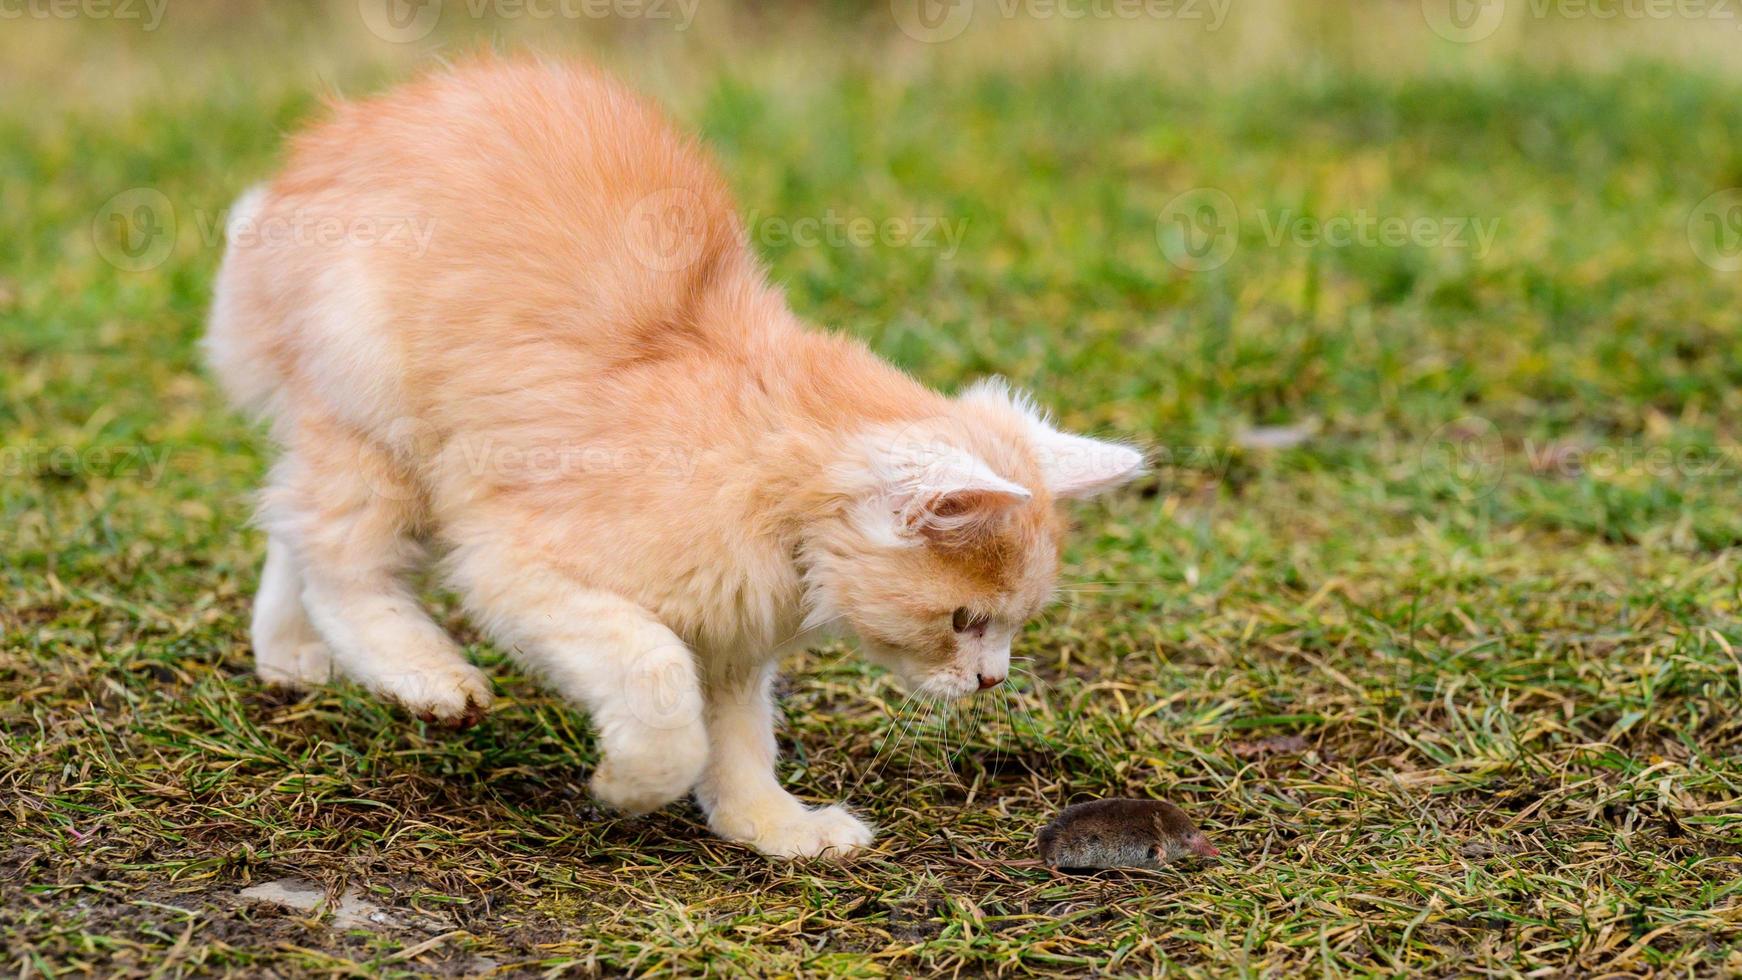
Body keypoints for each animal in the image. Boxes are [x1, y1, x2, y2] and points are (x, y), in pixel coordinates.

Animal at [207, 59, 1142, 859]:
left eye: (1011, 627)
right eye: (963, 620)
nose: (992, 683)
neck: (767, 484)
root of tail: (336, 136)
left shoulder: (731, 636)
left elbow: (738, 744)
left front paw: (773, 827)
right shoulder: (517, 563)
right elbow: (659, 685)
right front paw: (628, 785)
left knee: (292, 522)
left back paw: (288, 653)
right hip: (378, 419)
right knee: (341, 562)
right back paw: (425, 676)